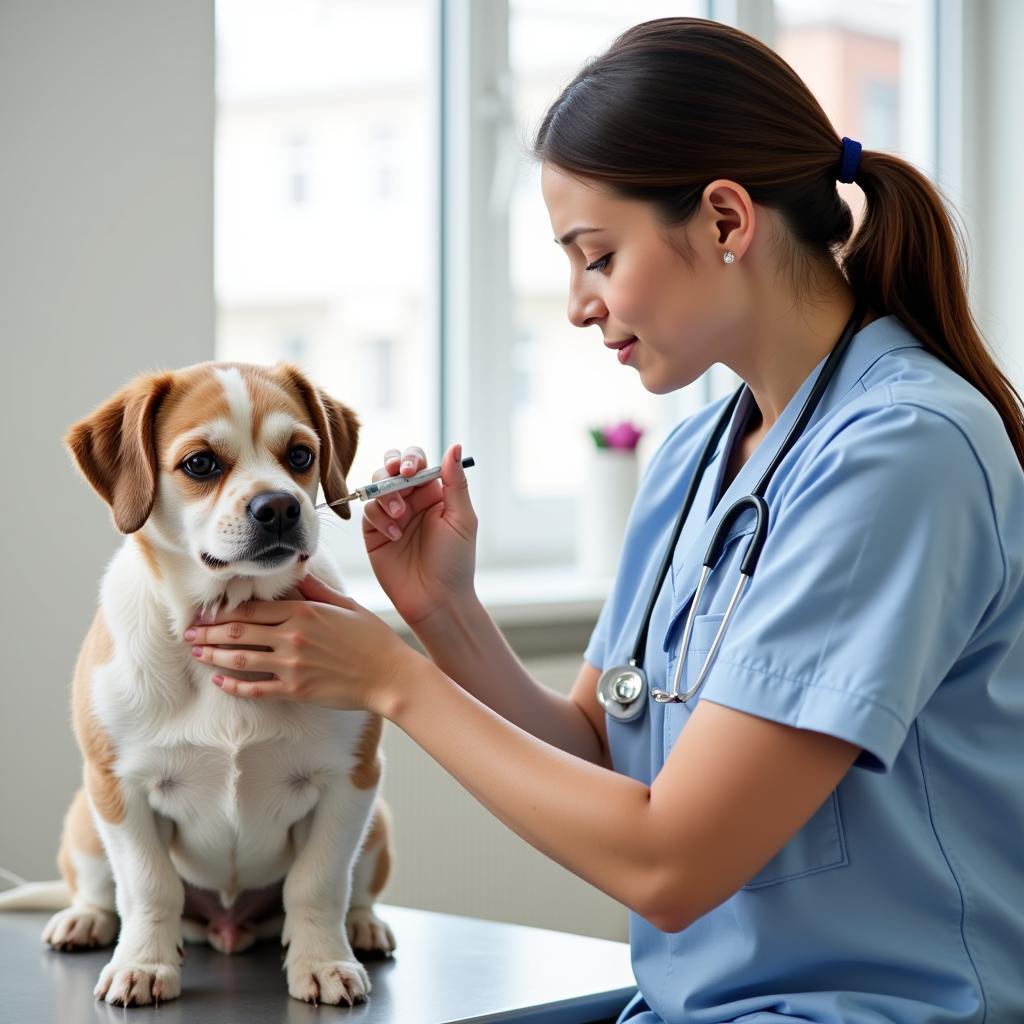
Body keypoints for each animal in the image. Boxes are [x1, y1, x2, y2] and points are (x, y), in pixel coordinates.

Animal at [19, 362, 393, 1007]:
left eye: (300, 454)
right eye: (200, 464)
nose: (279, 507)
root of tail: (227, 928)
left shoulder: (351, 780)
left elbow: (318, 884)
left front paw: (323, 961)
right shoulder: (119, 787)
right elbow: (149, 888)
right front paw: (143, 964)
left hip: (379, 823)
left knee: (354, 893)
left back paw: (364, 926)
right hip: (85, 818)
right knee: (97, 889)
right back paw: (85, 919)